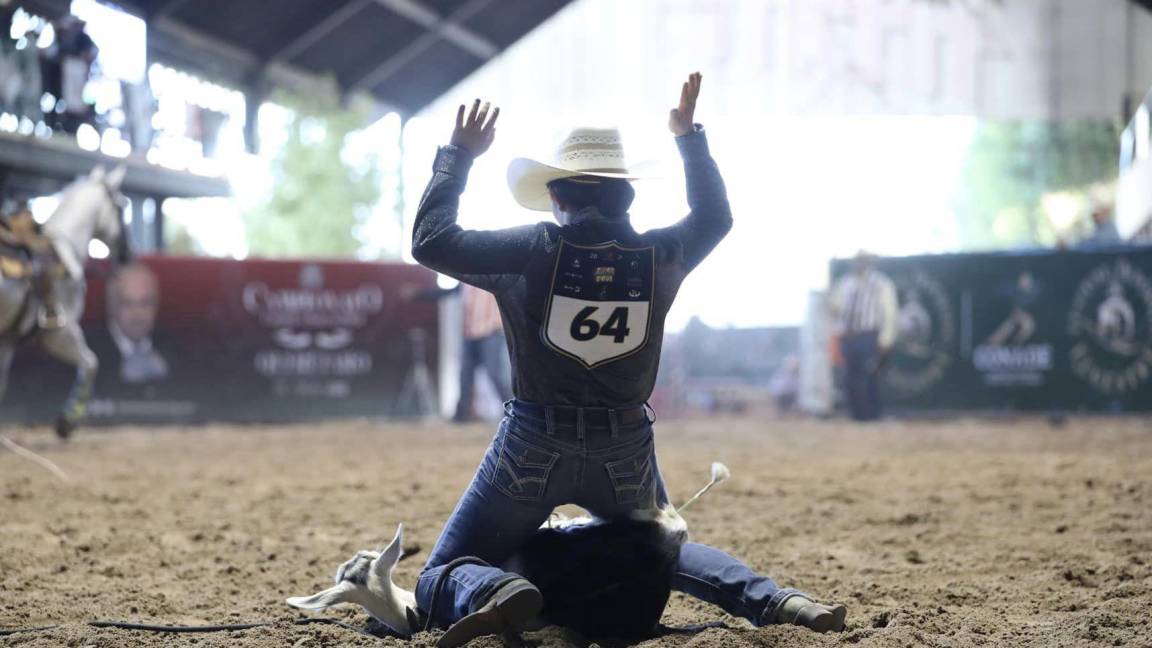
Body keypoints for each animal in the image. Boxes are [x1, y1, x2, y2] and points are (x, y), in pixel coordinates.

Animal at [0, 164, 128, 438]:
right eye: (122, 206)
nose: (127, 253)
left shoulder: (7, 341)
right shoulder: (60, 333)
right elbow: (91, 363)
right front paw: (67, 421)